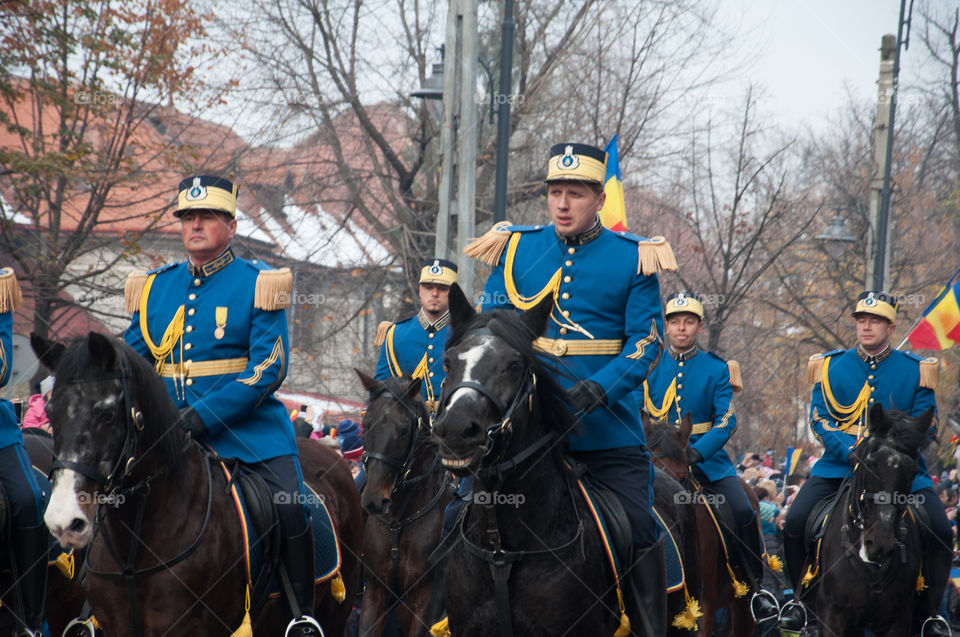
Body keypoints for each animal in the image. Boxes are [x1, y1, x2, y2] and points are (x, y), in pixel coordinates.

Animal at [356, 372, 450, 636]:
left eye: (405, 429)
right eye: (366, 424)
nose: (374, 500)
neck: (399, 520)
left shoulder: (424, 600)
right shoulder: (375, 593)